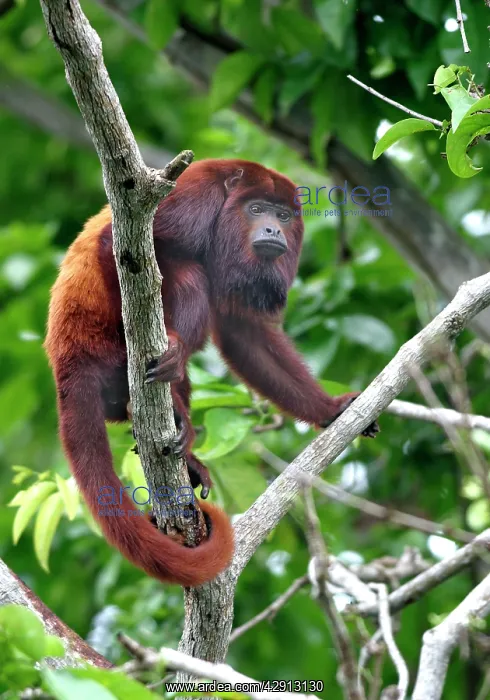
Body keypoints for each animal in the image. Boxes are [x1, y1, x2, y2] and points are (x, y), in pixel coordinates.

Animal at [45, 159, 378, 588]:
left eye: (283, 216)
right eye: (256, 209)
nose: (273, 230)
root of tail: (68, 364)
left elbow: (244, 333)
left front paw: (333, 409)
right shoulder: (195, 193)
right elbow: (111, 246)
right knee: (188, 274)